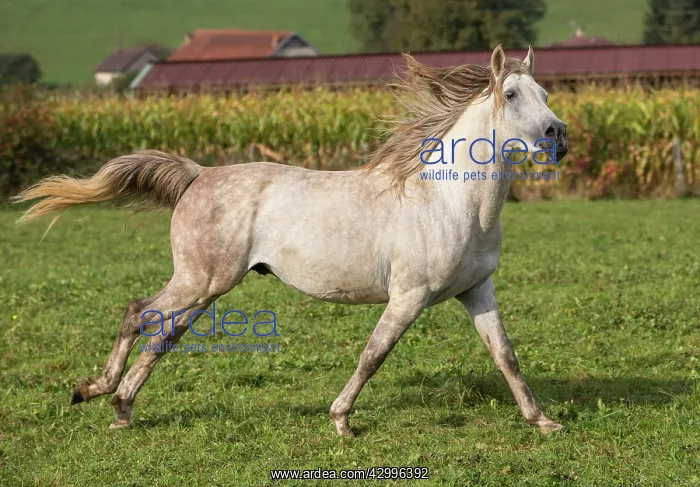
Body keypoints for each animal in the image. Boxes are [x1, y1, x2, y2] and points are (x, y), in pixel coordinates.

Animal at [14, 45, 568, 436]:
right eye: (512, 95)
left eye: (544, 94)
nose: (557, 137)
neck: (449, 203)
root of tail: (198, 174)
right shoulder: (408, 296)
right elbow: (373, 354)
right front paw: (342, 421)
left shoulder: (477, 291)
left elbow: (506, 355)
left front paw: (542, 420)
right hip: (202, 280)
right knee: (138, 313)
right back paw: (97, 393)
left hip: (204, 286)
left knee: (161, 333)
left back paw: (120, 406)